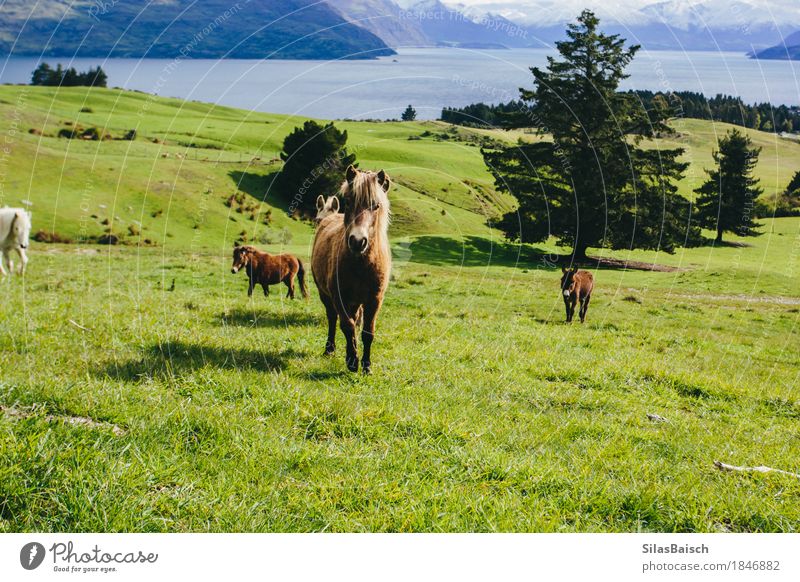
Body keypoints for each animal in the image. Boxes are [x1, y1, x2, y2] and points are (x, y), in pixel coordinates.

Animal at [310, 165, 390, 374]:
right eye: (348, 201)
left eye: (376, 206)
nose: (357, 241)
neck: (361, 263)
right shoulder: (339, 297)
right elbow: (347, 326)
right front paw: (352, 360)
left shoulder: (374, 300)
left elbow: (368, 332)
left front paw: (367, 366)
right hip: (325, 295)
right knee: (332, 318)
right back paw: (330, 349)